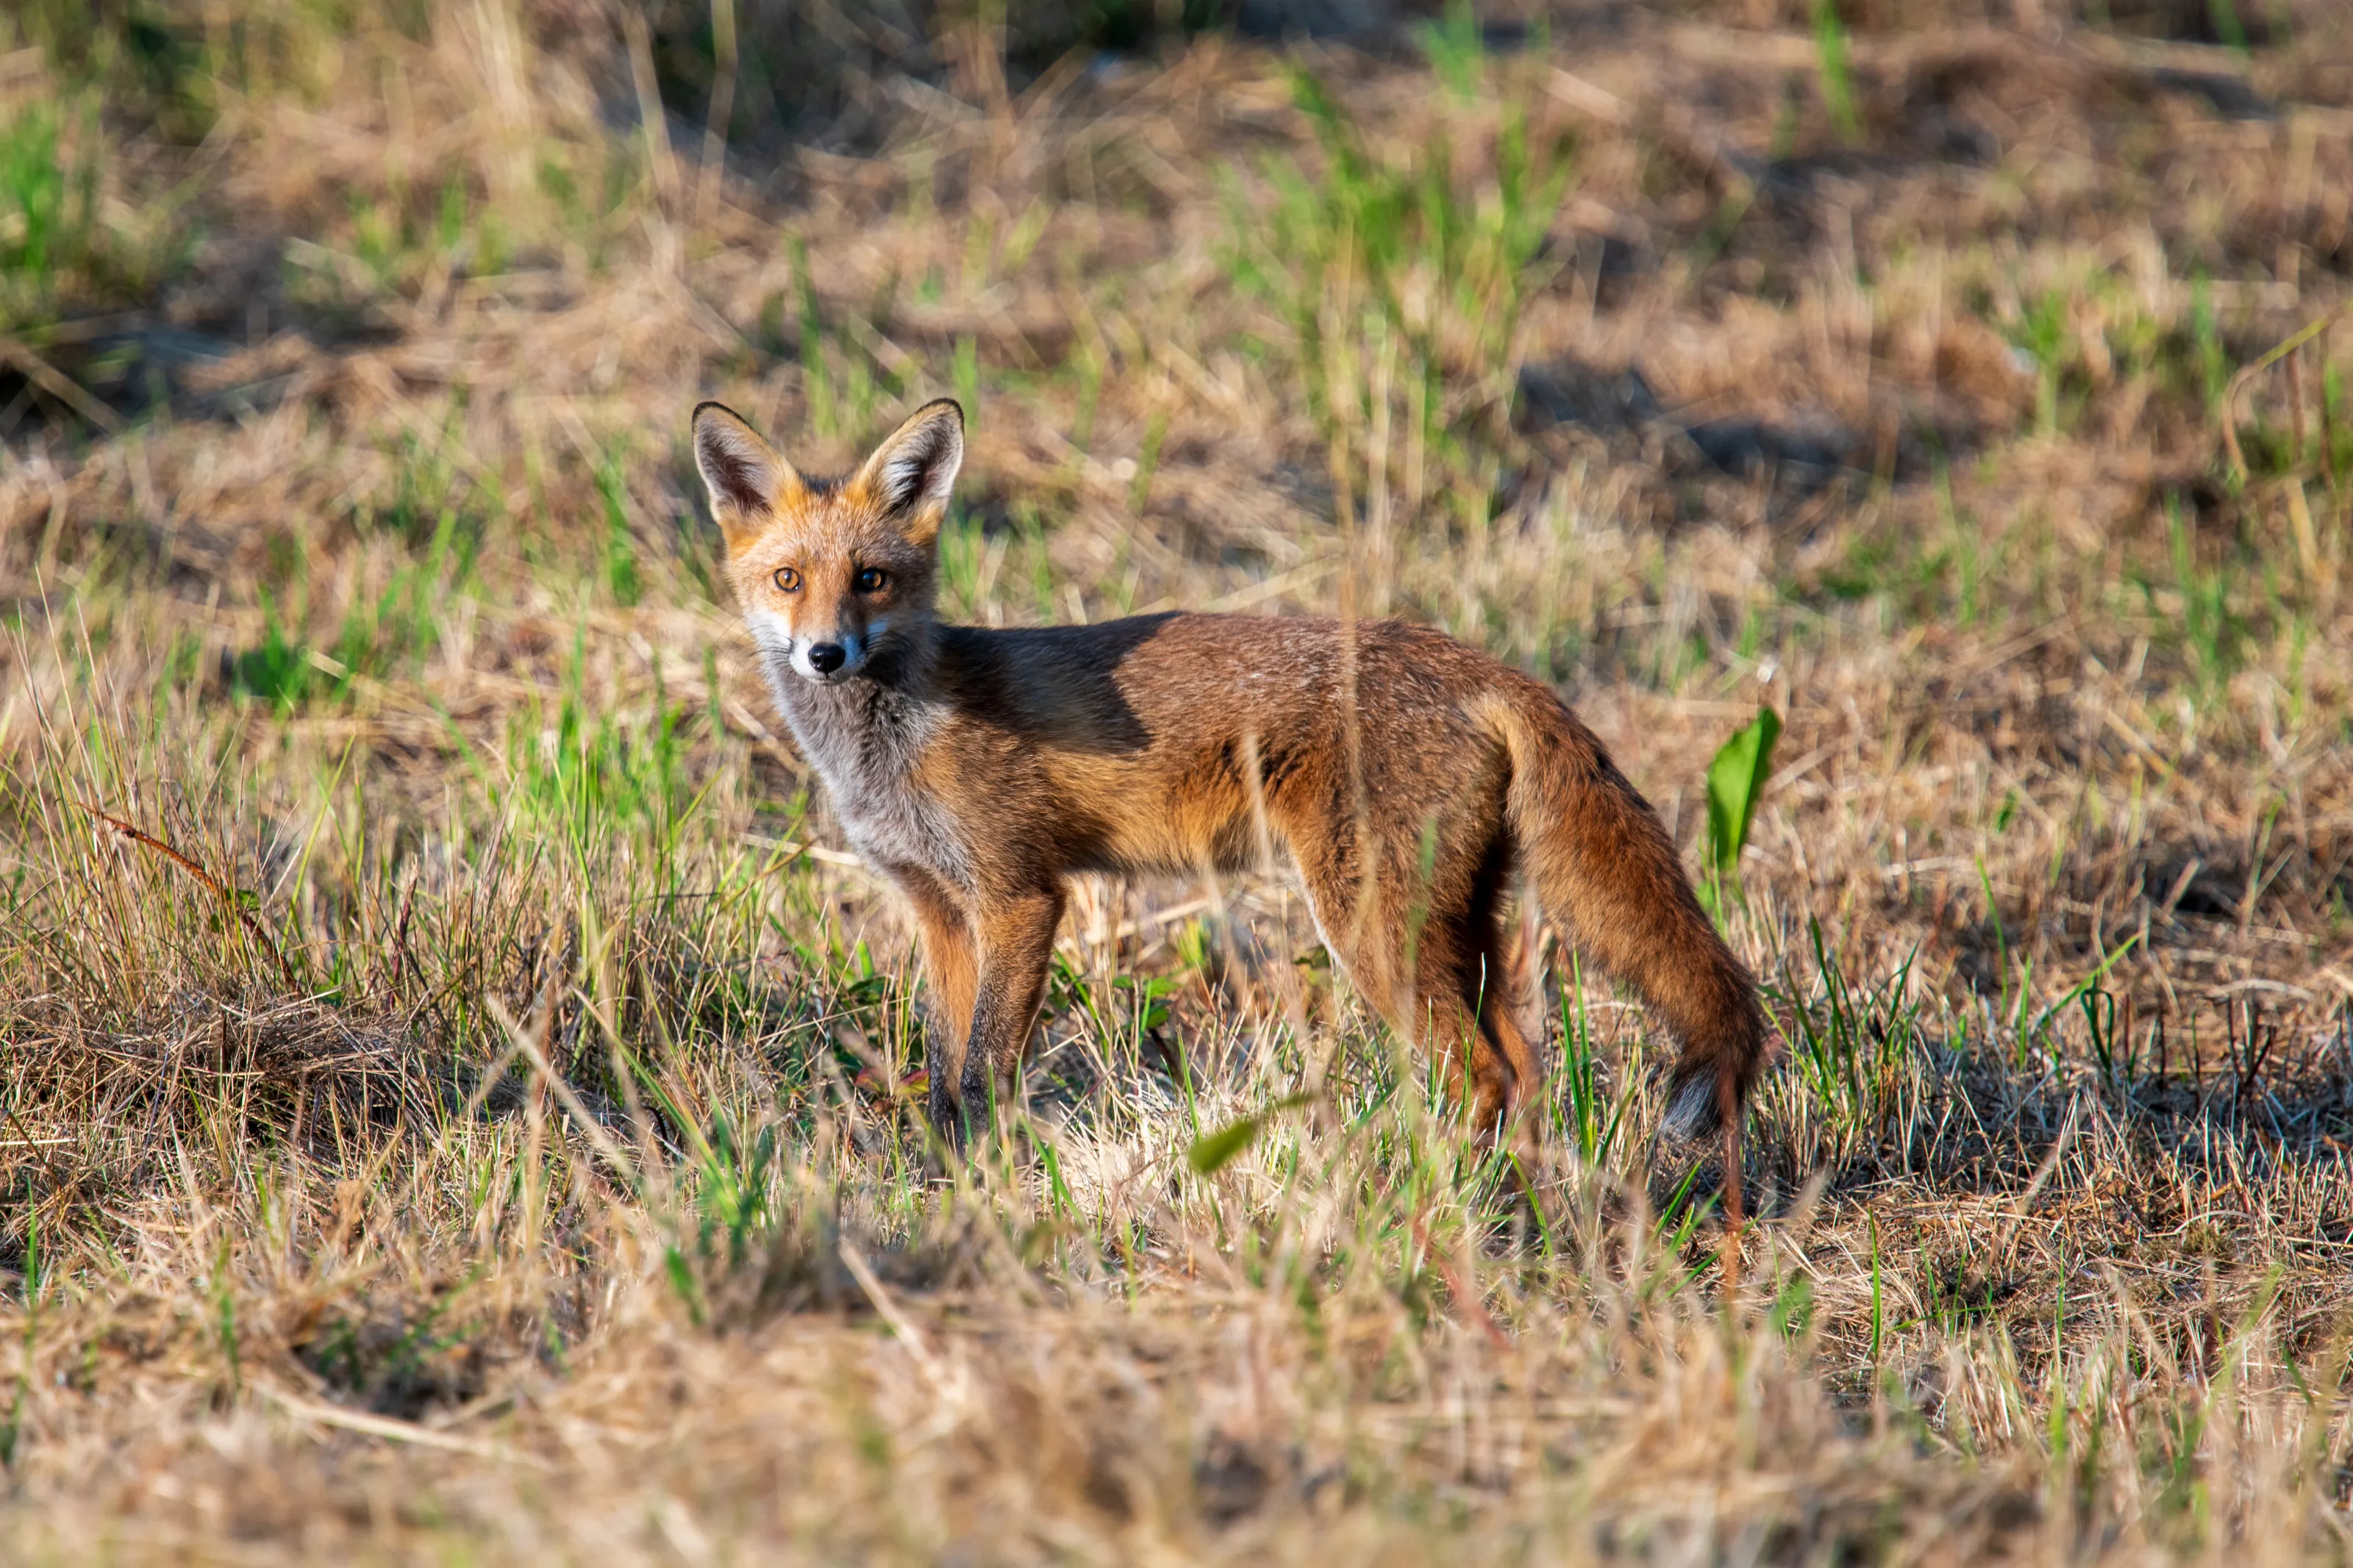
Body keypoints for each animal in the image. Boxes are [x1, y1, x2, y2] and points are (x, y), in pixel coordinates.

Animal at [691, 395, 1766, 1162]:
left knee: (1480, 1076)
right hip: (1461, 925)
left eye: (870, 579)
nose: (825, 655)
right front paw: (942, 1177)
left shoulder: (1020, 896)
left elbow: (987, 1071)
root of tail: (1481, 662)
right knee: (1525, 1071)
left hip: (1369, 925)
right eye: (789, 580)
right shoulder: (942, 910)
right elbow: (948, 1068)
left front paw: (980, 1184)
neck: (897, 737)